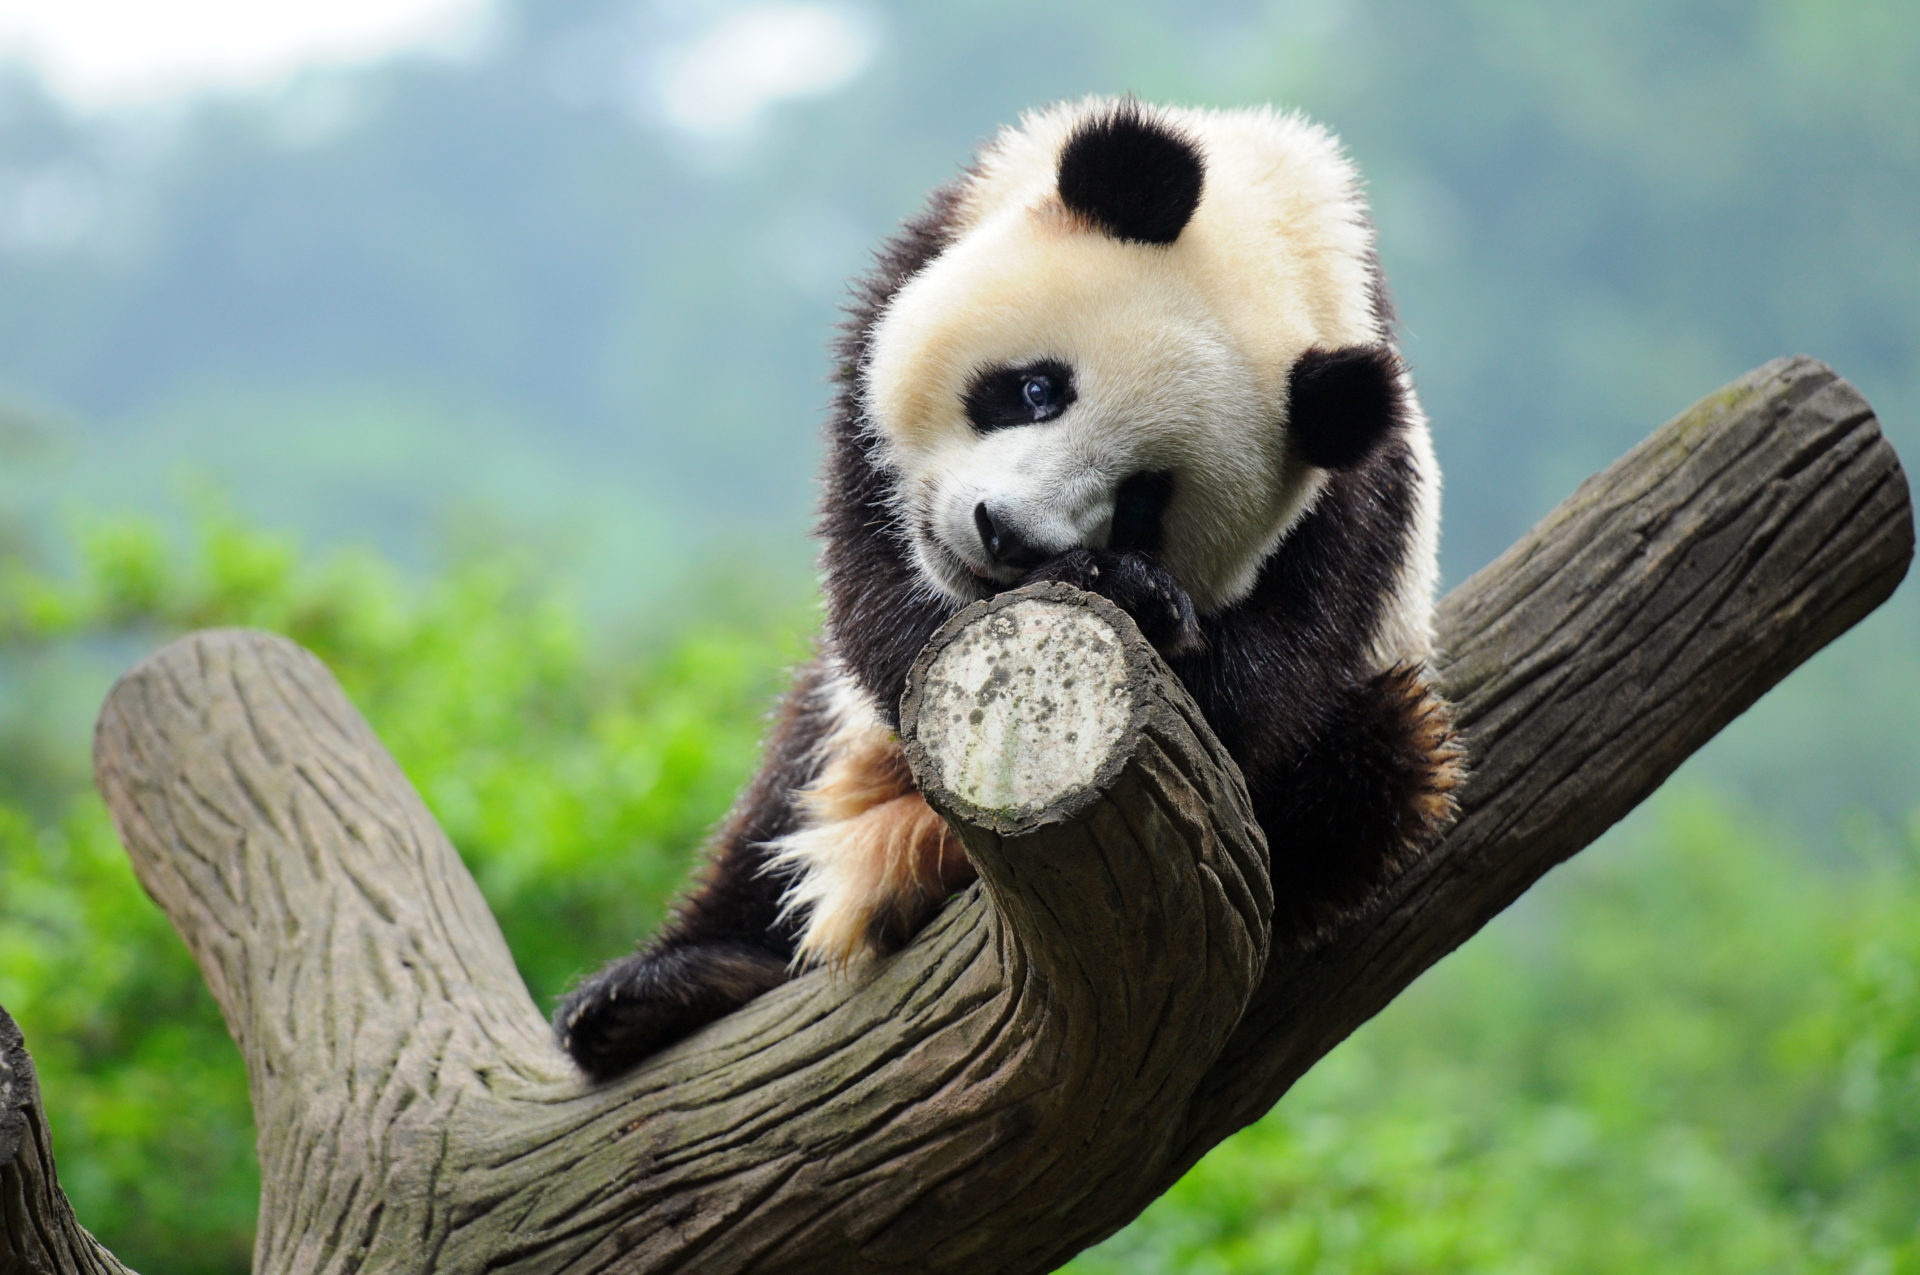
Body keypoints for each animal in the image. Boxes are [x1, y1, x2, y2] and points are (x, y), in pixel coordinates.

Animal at [555, 99, 1465, 1079]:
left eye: (1143, 502)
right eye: (1036, 389)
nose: (1004, 533)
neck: (1284, 226)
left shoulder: (1352, 515)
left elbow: (1252, 695)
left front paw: (1135, 595)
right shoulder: (922, 265)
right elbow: (877, 593)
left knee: (1377, 767)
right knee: (785, 779)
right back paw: (663, 988)